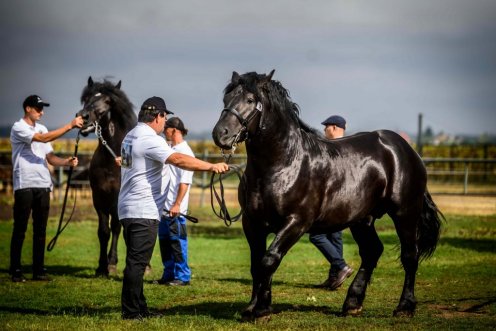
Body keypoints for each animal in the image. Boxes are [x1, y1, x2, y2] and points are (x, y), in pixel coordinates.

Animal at [76, 76, 137, 276]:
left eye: (108, 101)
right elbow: (104, 231)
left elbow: (117, 227)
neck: (113, 160)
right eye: (86, 99)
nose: (83, 117)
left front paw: (113, 263)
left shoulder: (118, 198)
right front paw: (102, 266)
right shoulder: (99, 198)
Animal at [211, 70, 444, 320]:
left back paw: (404, 307)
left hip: (405, 213)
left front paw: (262, 310)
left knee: (410, 256)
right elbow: (257, 264)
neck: (284, 164)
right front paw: (252, 308)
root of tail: (407, 150)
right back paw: (352, 303)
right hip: (362, 219)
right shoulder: (252, 223)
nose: (220, 134)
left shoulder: (296, 222)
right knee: (372, 252)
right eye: (226, 99)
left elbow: (269, 260)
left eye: (250, 100)